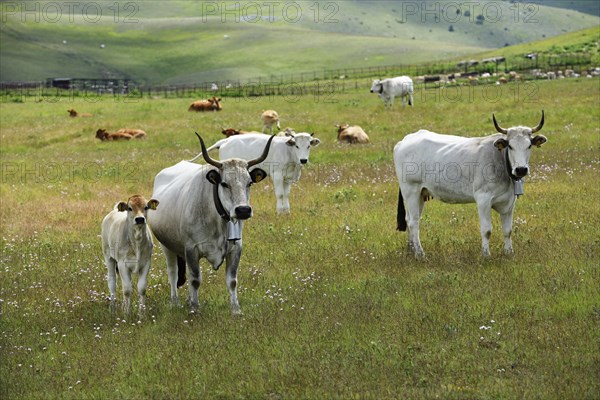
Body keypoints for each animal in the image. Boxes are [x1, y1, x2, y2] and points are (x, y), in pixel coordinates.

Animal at [149, 134, 274, 312]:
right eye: (224, 183)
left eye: (249, 183)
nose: (243, 210)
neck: (218, 221)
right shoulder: (192, 249)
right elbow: (195, 280)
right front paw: (195, 309)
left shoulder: (236, 248)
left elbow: (232, 281)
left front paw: (236, 309)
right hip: (167, 246)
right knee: (173, 274)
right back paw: (175, 302)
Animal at [191, 132, 322, 214]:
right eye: (297, 146)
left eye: (309, 146)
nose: (303, 160)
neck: (289, 153)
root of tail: (227, 139)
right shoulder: (277, 175)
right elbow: (280, 194)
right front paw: (280, 211)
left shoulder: (287, 177)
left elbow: (286, 194)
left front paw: (286, 211)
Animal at [396, 111, 548, 258]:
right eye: (510, 146)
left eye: (529, 145)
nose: (521, 169)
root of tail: (405, 140)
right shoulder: (483, 199)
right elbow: (487, 230)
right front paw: (486, 255)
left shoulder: (509, 202)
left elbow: (507, 230)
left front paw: (509, 253)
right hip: (410, 191)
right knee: (413, 222)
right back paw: (420, 254)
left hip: (421, 194)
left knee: (409, 219)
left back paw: (411, 251)